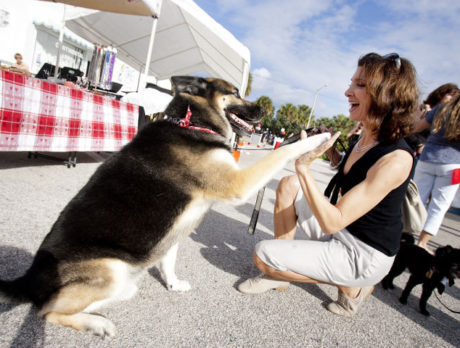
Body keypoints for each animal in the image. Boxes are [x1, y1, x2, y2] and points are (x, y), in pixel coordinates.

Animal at [0, 77, 330, 338]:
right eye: (235, 92)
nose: (265, 111)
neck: (192, 123)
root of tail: (29, 279)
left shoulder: (175, 231)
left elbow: (168, 260)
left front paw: (172, 284)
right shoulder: (238, 182)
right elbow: (283, 152)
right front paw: (317, 139)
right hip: (111, 270)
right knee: (45, 311)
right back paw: (96, 324)